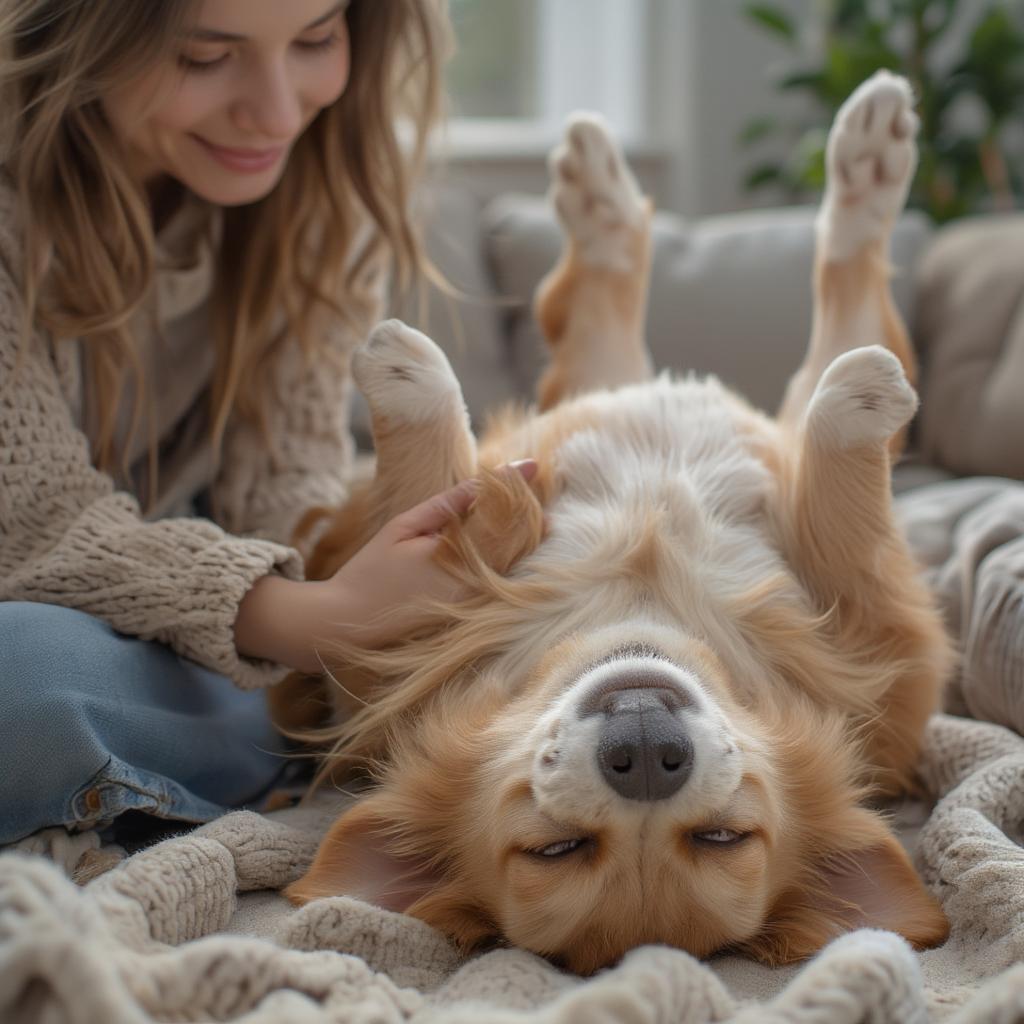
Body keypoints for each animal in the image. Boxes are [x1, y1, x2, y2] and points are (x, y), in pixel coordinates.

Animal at [278, 74, 950, 974]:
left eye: (723, 838)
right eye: (555, 851)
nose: (646, 755)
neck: (639, 609)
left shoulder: (880, 632)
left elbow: (846, 522)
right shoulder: (378, 640)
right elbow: (430, 498)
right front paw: (415, 386)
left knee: (818, 340)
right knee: (624, 336)